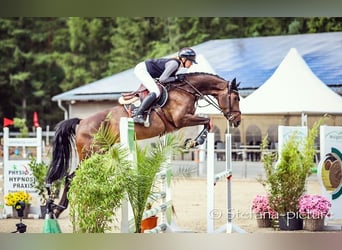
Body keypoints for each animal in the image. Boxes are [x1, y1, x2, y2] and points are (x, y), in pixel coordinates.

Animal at [46, 72, 242, 217]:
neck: (187, 90)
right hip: (91, 153)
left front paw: (193, 141)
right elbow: (207, 120)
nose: (237, 121)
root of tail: (81, 122)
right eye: (236, 98)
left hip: (99, 152)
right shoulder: (181, 119)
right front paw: (194, 141)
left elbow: (207, 122)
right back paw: (58, 210)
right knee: (71, 177)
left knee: (75, 177)